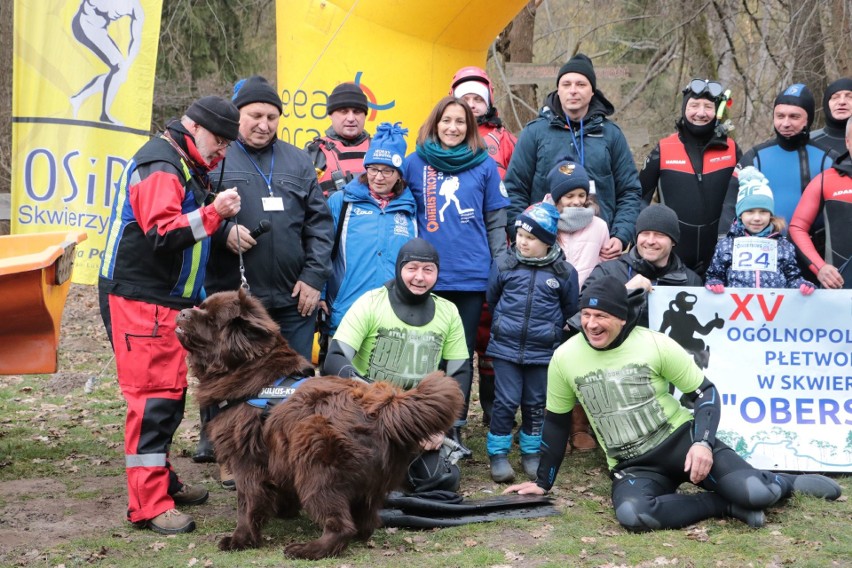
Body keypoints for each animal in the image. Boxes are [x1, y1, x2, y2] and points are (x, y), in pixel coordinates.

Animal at [176, 290, 462, 556]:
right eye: (200, 307)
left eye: (211, 319)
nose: (182, 313)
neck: (248, 370)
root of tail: (385, 411)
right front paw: (284, 511)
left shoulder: (248, 459)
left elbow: (247, 502)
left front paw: (240, 539)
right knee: (366, 521)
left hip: (315, 460)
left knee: (341, 524)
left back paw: (306, 549)